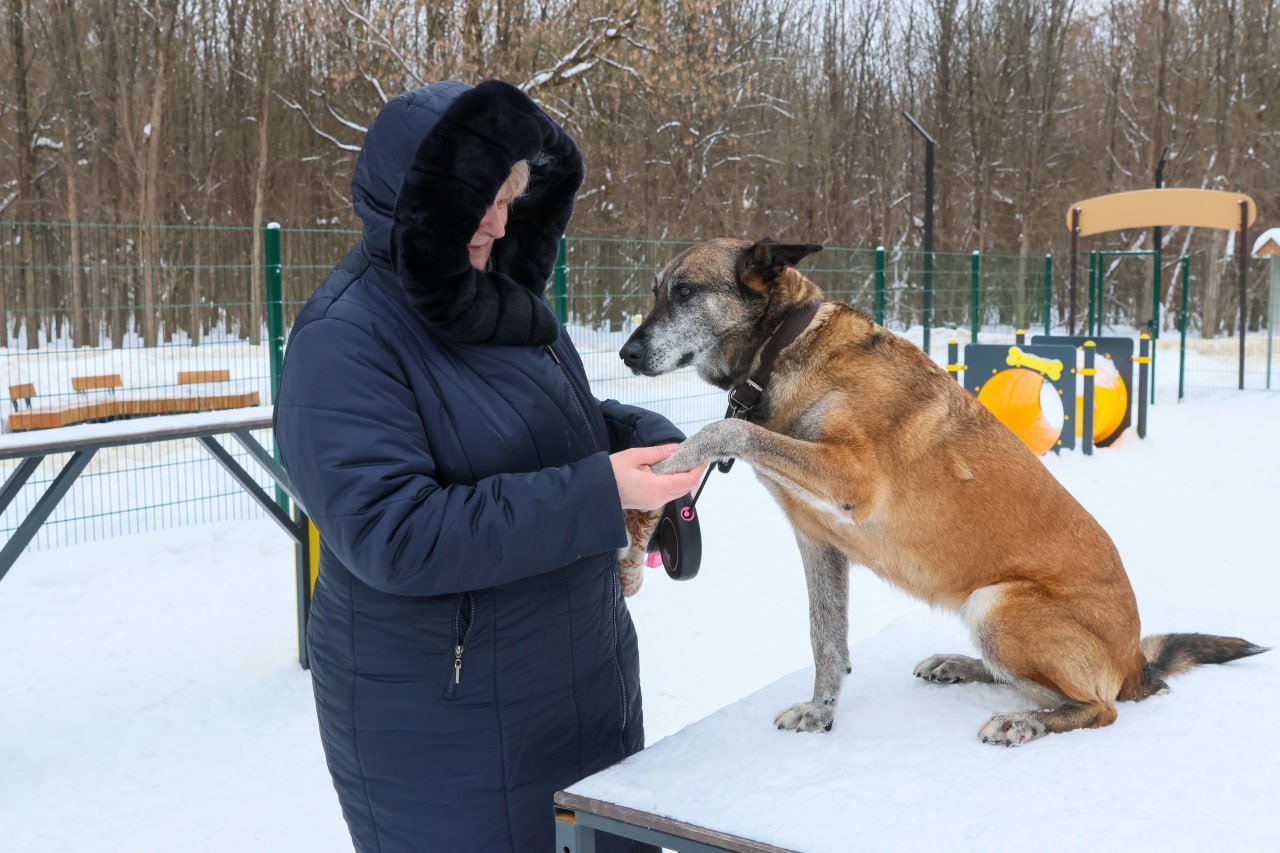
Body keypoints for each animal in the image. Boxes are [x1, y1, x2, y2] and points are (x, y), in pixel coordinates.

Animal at [616, 235, 1259, 742]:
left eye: (684, 292)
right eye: (656, 290)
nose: (625, 353)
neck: (784, 348)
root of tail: (1133, 665)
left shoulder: (852, 477)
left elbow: (725, 428)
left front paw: (663, 470)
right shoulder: (818, 541)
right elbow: (827, 640)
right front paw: (823, 713)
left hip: (997, 606)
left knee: (1097, 707)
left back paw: (1024, 722)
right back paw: (959, 665)